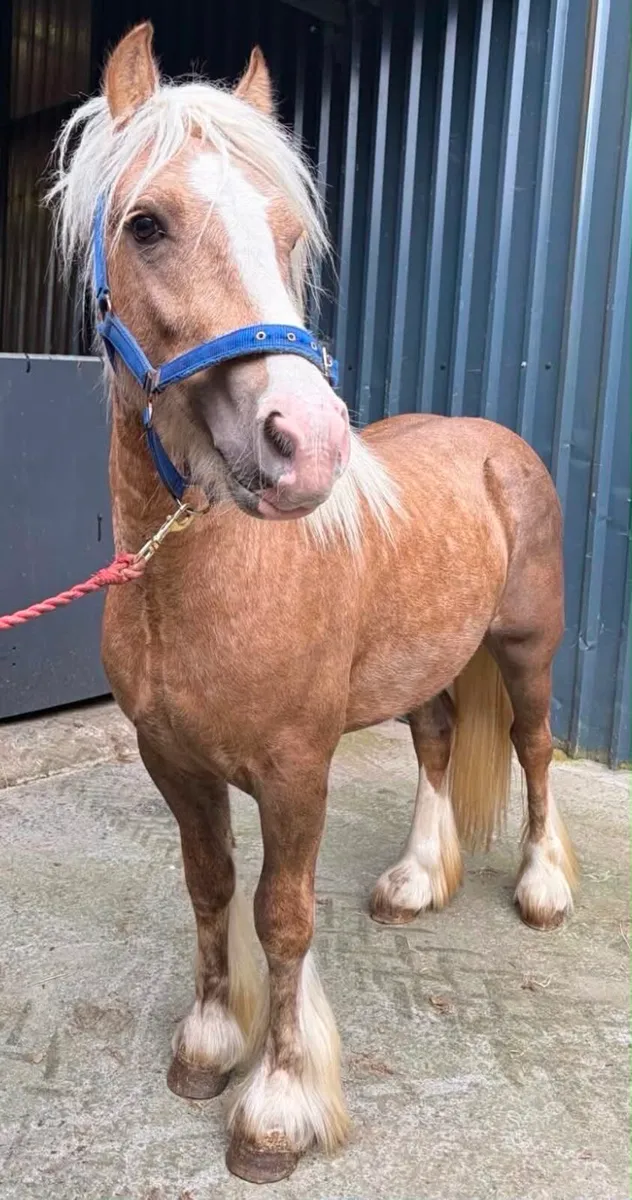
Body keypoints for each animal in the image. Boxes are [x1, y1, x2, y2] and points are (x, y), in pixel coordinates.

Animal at [48, 23, 577, 1184]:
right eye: (146, 224)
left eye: (290, 233)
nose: (308, 446)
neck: (196, 582)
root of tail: (498, 442)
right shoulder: (173, 761)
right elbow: (209, 888)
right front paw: (209, 1046)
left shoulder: (295, 771)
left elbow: (281, 919)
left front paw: (277, 1109)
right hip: (429, 664)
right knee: (436, 742)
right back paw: (415, 880)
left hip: (524, 651)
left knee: (529, 748)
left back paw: (540, 889)